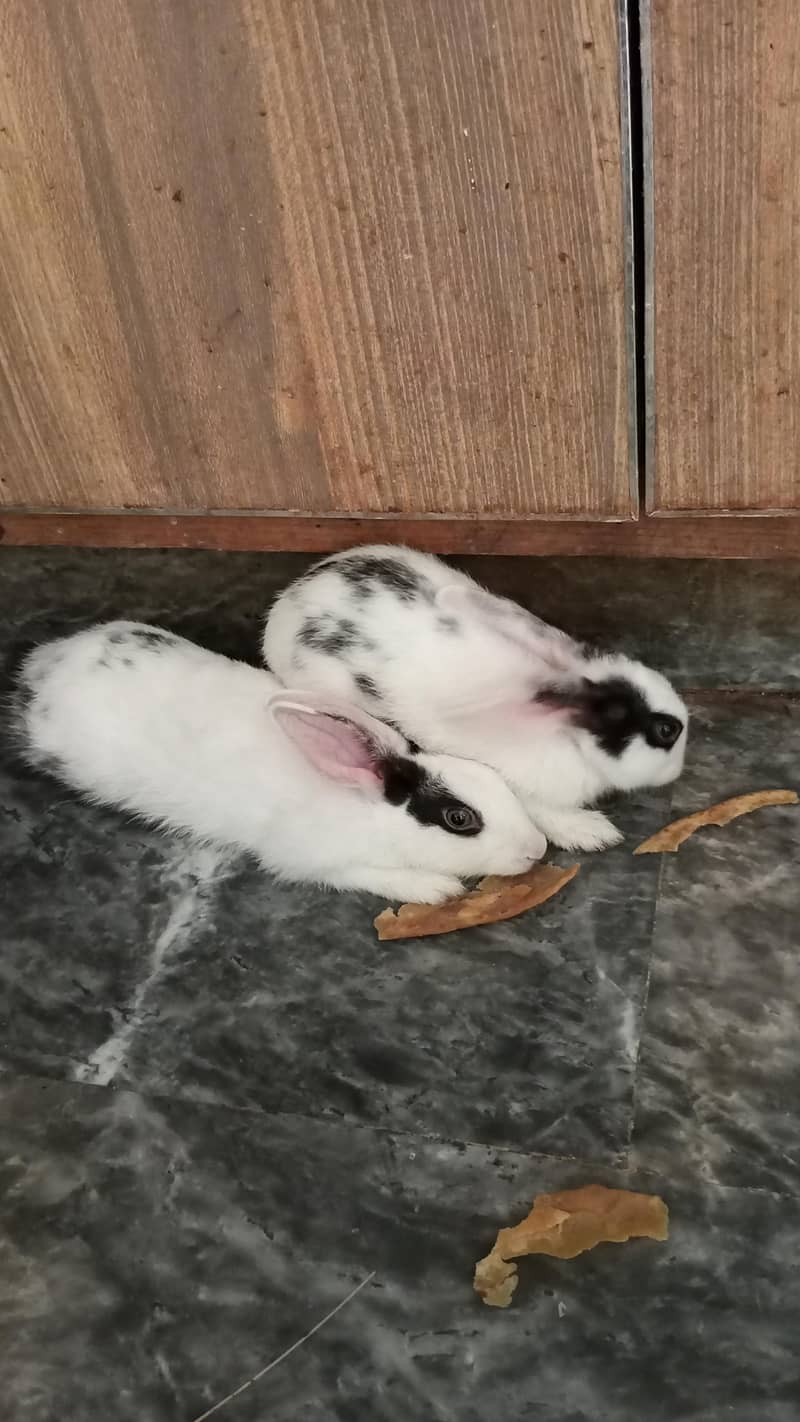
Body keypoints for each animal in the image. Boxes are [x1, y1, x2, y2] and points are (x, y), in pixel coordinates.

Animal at [10, 620, 547, 904]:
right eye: (459, 819)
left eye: (494, 780)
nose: (537, 850)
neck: (364, 807)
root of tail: (43, 669)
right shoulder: (309, 856)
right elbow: (361, 873)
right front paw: (436, 890)